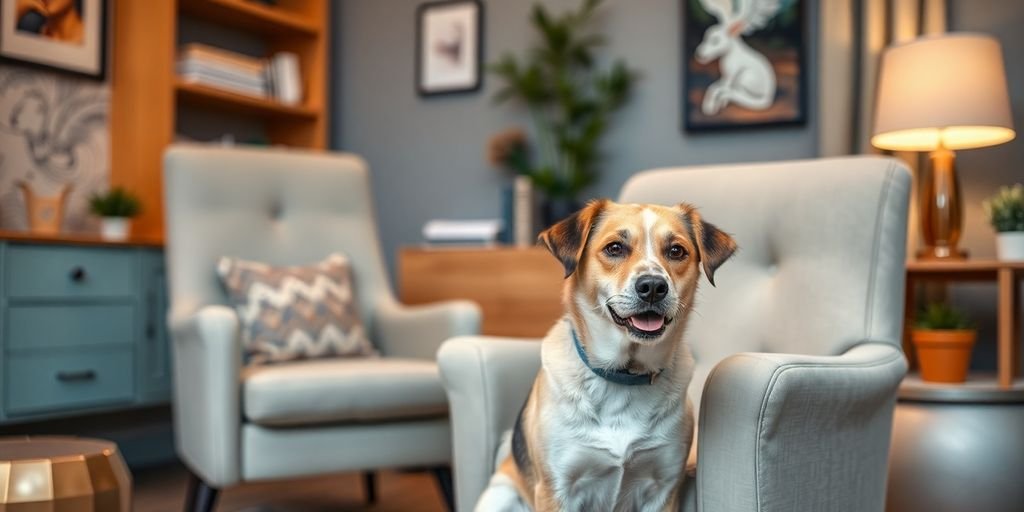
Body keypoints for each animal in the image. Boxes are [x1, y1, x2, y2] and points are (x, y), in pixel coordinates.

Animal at [475, 197, 733, 509]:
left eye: (676, 251)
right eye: (615, 248)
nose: (652, 287)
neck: (624, 375)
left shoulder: (663, 488)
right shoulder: (555, 489)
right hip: (500, 495)